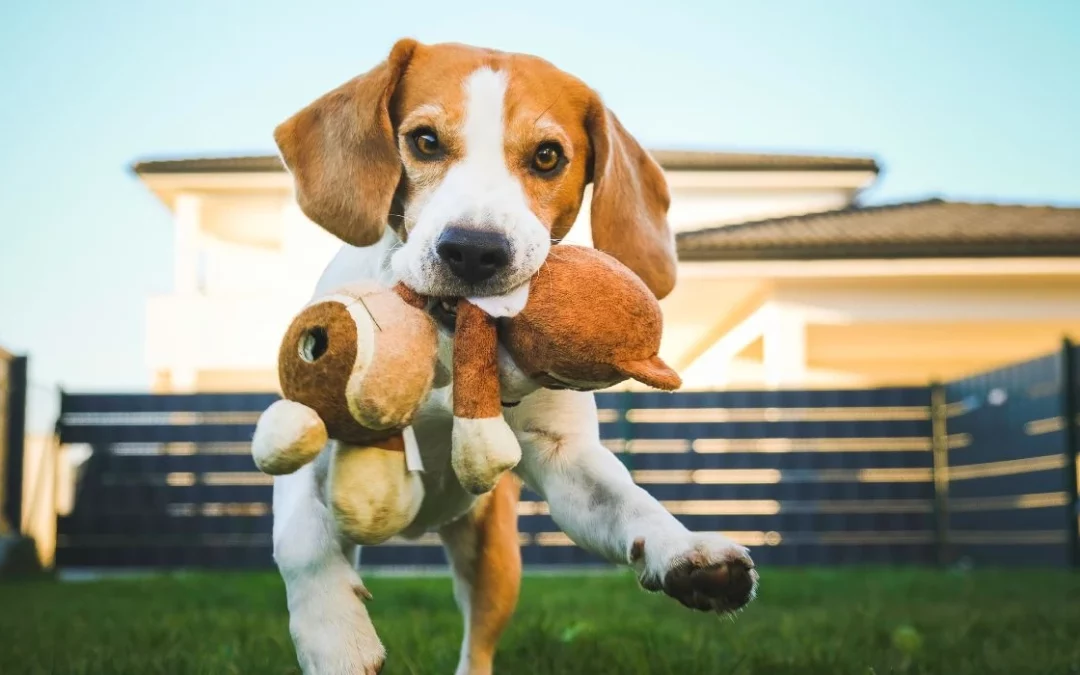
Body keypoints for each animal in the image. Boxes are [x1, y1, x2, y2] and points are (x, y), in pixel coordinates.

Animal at [272, 39, 760, 669]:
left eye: (548, 156)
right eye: (424, 141)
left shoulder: (564, 460)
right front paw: (332, 633)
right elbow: (300, 541)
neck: (449, 345)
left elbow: (631, 502)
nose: (474, 250)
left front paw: (684, 552)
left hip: (494, 558)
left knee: (477, 646)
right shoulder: (308, 435)